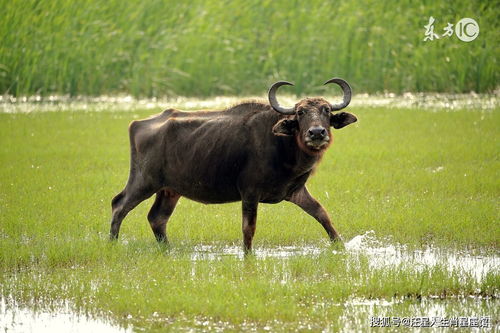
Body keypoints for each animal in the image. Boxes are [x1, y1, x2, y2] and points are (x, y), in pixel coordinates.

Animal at [109, 78, 356, 253]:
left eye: (326, 110)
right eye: (300, 112)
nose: (317, 133)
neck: (282, 145)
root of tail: (137, 124)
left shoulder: (295, 191)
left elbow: (321, 214)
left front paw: (340, 246)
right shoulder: (249, 192)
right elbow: (249, 228)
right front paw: (247, 255)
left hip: (169, 190)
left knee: (157, 218)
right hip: (143, 181)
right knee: (119, 205)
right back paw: (112, 243)